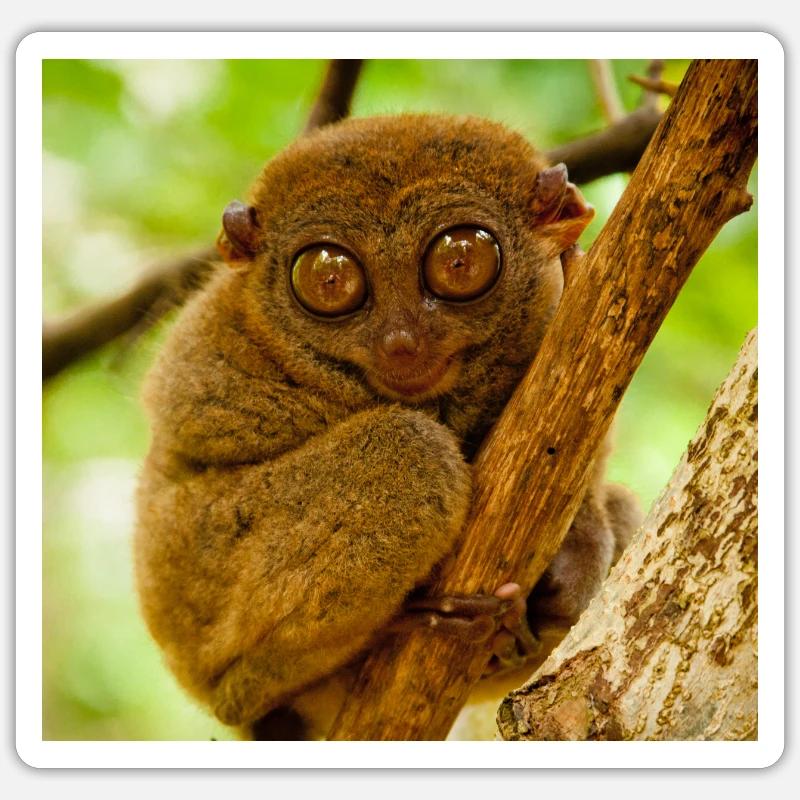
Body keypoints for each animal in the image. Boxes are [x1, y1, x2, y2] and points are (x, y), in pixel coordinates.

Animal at [134, 113, 641, 741]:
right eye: (329, 280)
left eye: (459, 263)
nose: (401, 341)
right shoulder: (213, 350)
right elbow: (195, 408)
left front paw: (579, 552)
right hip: (198, 582)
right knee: (407, 450)